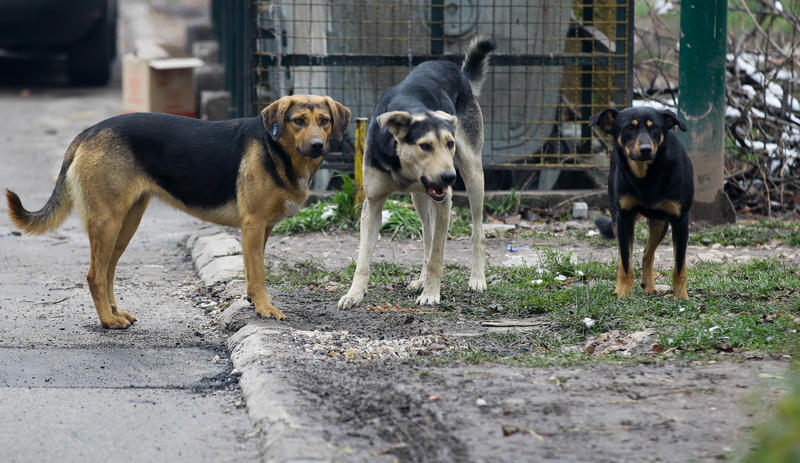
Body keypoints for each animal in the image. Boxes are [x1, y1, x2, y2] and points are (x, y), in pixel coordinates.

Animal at [6, 94, 350, 328]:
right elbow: (258, 272)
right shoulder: (252, 224)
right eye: (298, 120)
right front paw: (265, 308)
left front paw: (255, 303)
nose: (318, 146)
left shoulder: (263, 229)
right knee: (94, 275)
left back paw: (116, 312)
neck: (276, 148)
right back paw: (108, 321)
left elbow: (254, 271)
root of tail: (88, 132)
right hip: (107, 221)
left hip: (126, 224)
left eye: (324, 120)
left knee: (107, 273)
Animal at [338, 37, 494, 312]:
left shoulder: (444, 201)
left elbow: (437, 256)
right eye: (425, 146)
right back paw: (421, 279)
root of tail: (459, 72)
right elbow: (363, 258)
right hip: (419, 198)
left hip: (473, 173)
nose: (449, 177)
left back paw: (477, 279)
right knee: (427, 236)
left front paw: (431, 294)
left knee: (477, 231)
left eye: (449, 144)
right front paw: (354, 294)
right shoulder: (373, 203)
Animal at [588, 105, 692, 300]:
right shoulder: (624, 217)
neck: (646, 175)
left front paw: (681, 297)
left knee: (647, 253)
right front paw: (624, 293)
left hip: (661, 223)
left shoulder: (680, 221)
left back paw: (649, 285)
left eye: (655, 127)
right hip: (617, 217)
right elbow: (625, 261)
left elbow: (679, 265)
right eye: (629, 127)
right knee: (624, 256)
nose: (645, 149)